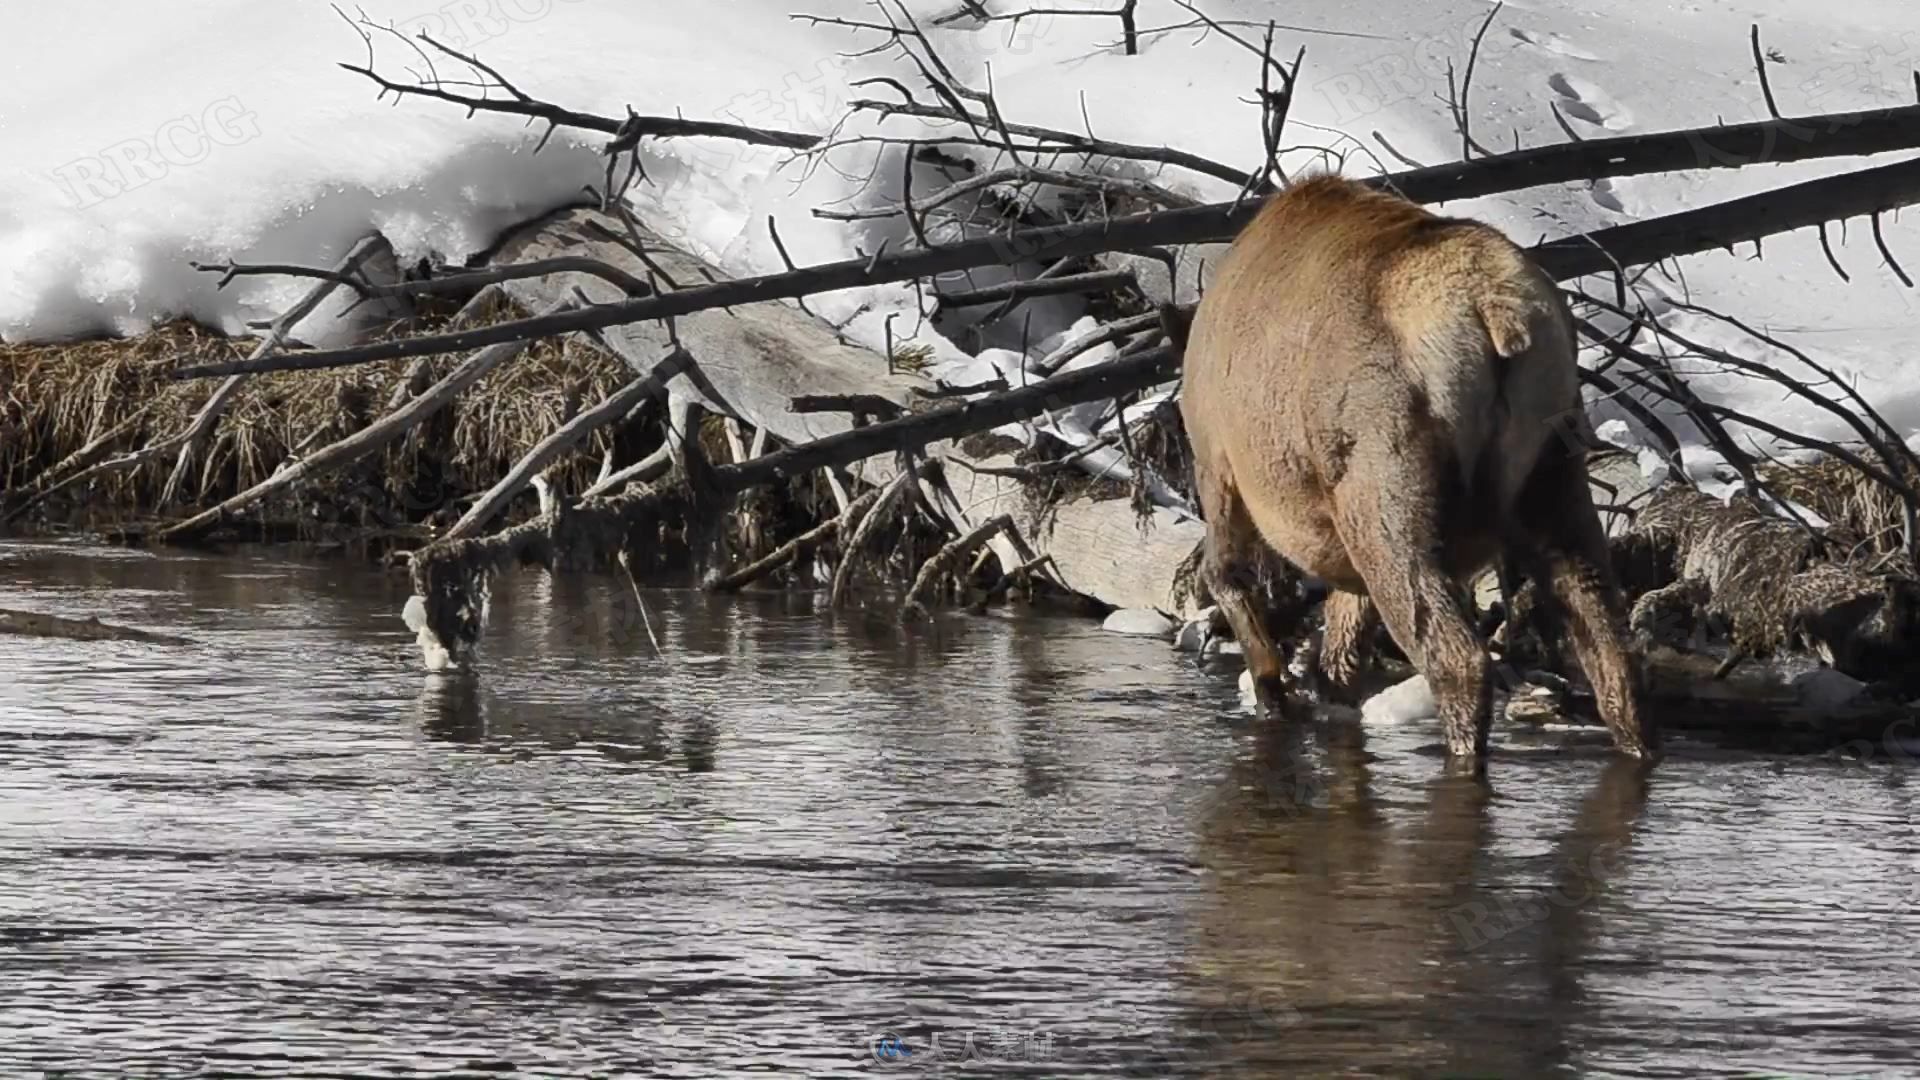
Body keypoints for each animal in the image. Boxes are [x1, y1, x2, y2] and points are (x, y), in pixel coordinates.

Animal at [1175, 174, 1658, 757]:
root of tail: (1495, 312)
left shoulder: (1218, 461)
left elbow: (1229, 578)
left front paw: (1274, 694)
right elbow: (1342, 644)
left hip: (1385, 486)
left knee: (1456, 657)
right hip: (1554, 468)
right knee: (1612, 652)